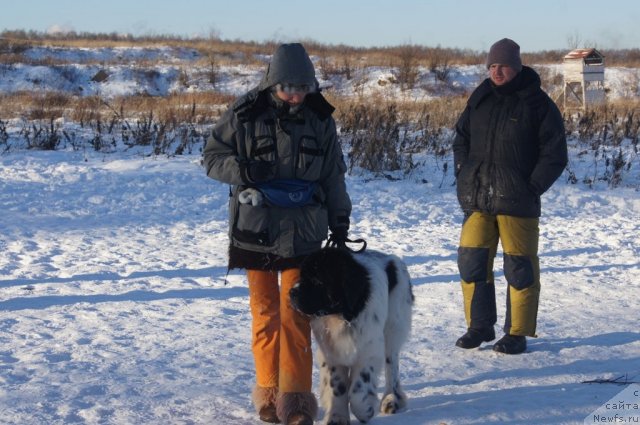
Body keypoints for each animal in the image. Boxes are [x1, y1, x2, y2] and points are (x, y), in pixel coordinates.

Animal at [292, 247, 416, 422]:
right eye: (301, 276)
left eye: (317, 280)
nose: (291, 292)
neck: (342, 316)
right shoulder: (332, 354)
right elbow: (337, 387)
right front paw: (336, 417)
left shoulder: (369, 351)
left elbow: (358, 390)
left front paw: (365, 411)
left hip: (393, 327)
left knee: (392, 365)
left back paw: (391, 398)